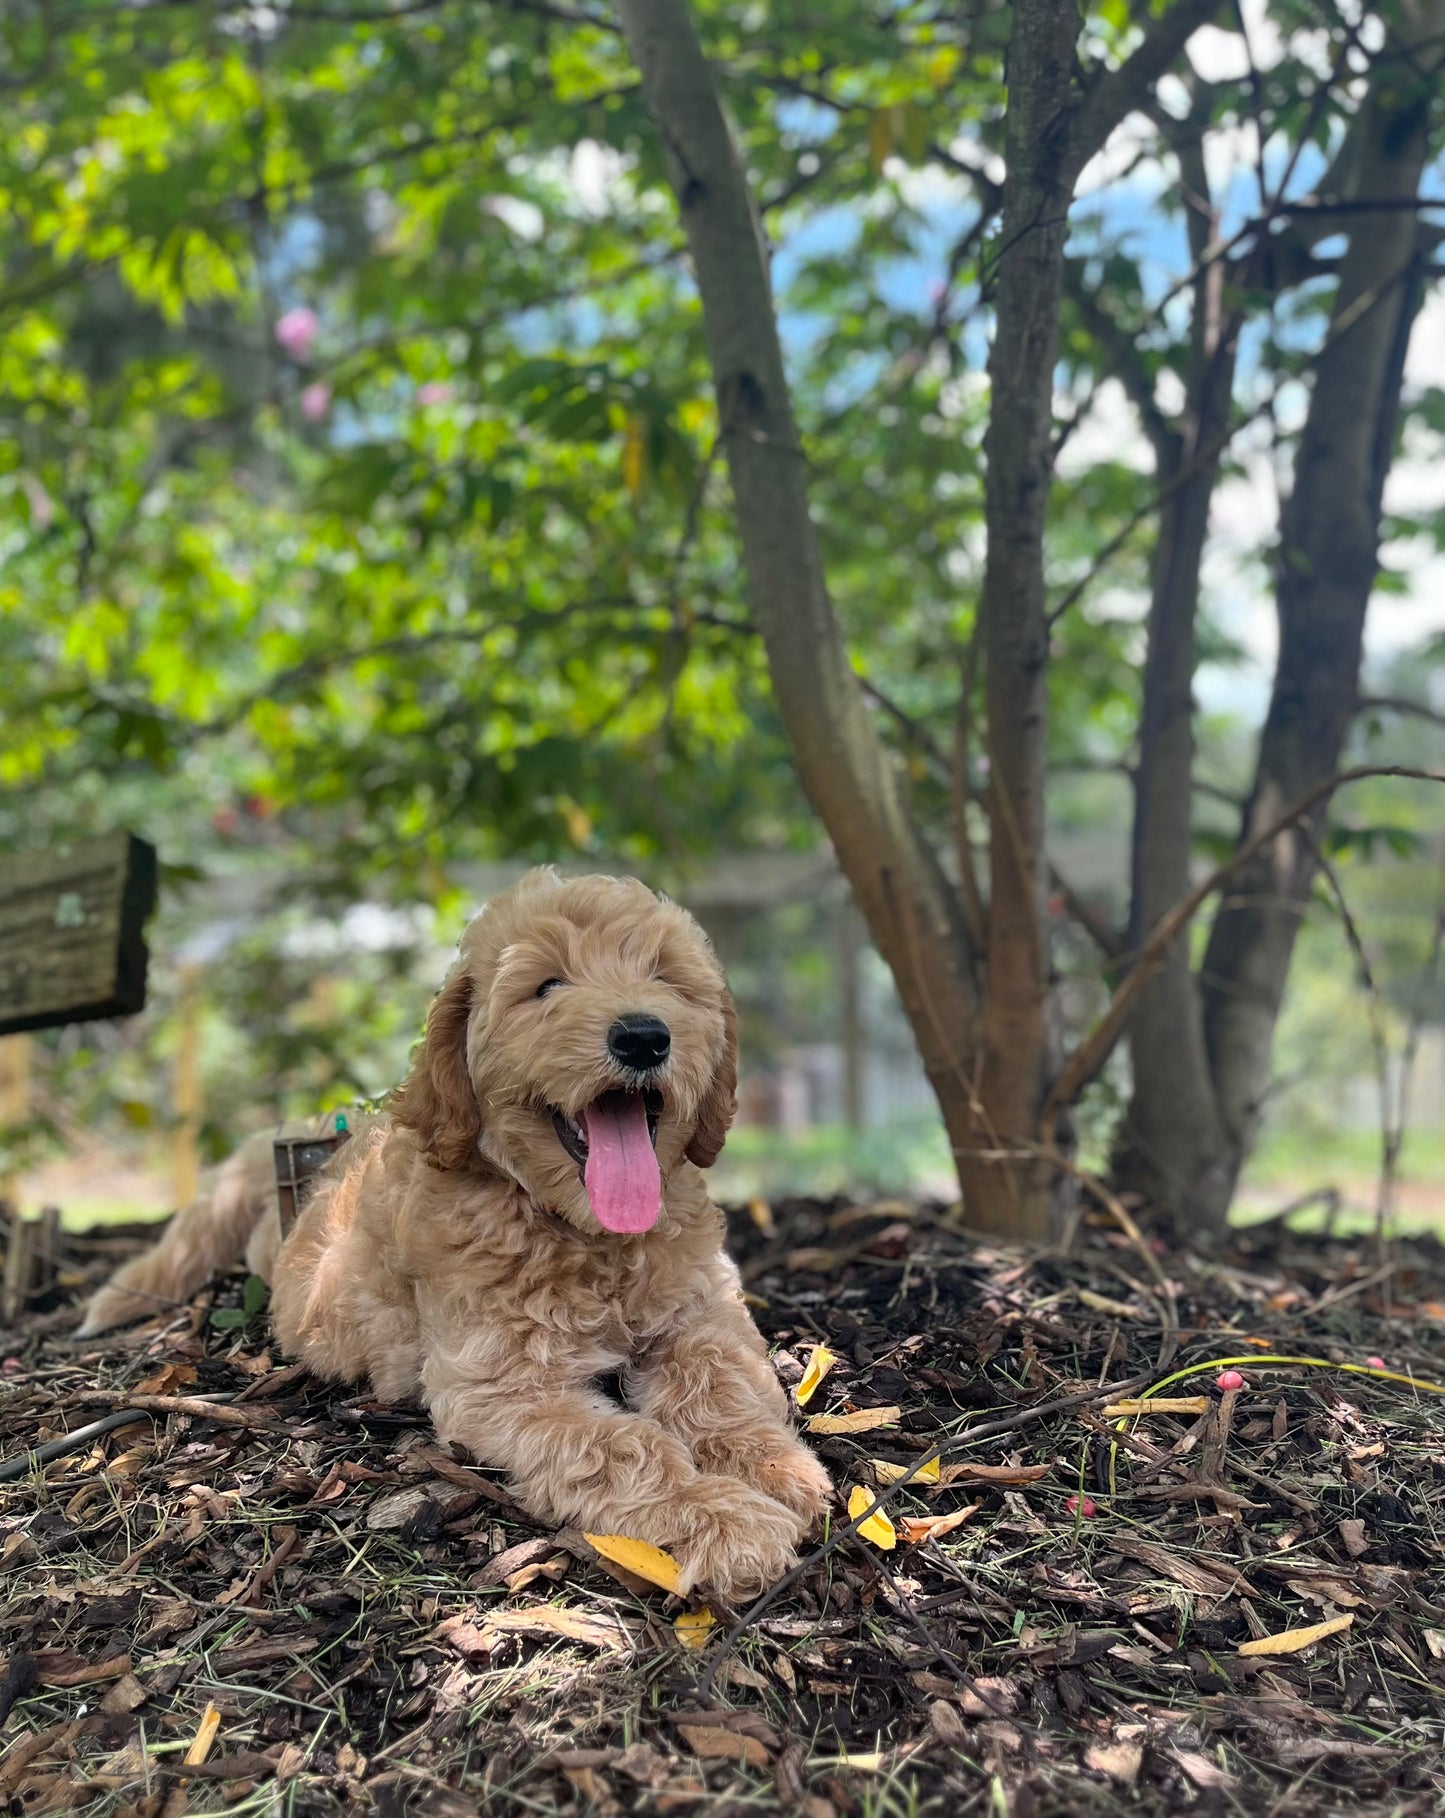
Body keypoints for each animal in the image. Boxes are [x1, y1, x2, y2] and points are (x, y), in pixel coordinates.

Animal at [84, 872, 836, 1599]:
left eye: (666, 978)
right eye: (547, 985)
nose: (644, 1037)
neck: (585, 1234)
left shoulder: (701, 1311)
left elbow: (721, 1380)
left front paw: (772, 1466)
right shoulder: (503, 1388)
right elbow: (627, 1449)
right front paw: (725, 1519)